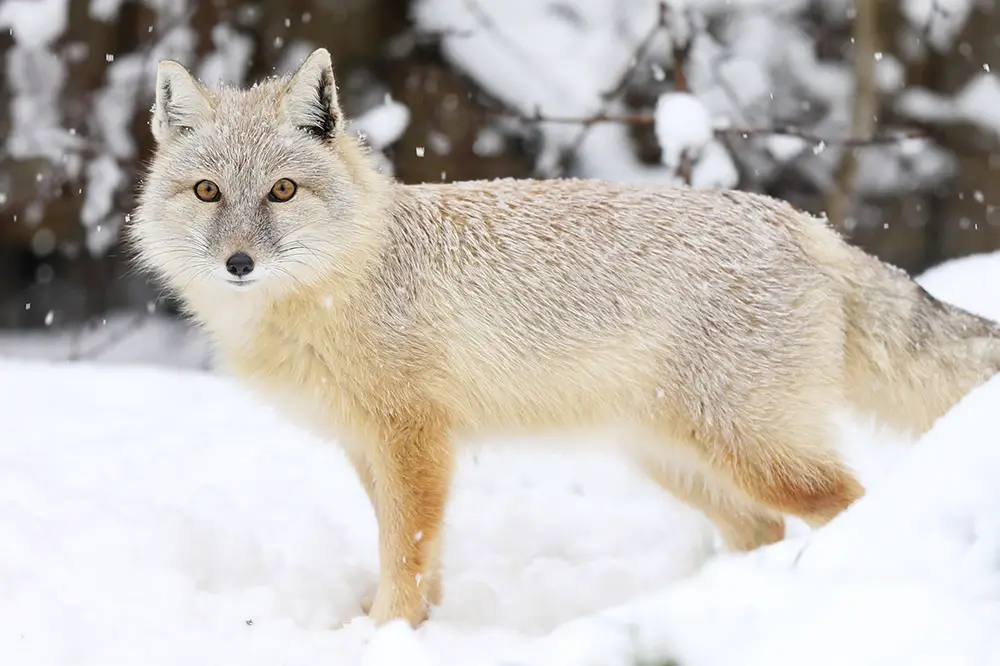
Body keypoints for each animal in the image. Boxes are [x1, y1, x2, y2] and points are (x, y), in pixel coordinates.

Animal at [129, 49, 1000, 624]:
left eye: (282, 191)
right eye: (207, 192)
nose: (239, 262)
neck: (344, 281)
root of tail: (802, 221)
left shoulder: (414, 438)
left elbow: (407, 550)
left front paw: (388, 633)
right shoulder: (369, 445)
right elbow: (416, 555)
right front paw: (411, 626)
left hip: (755, 451)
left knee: (847, 504)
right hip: (677, 459)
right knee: (761, 530)